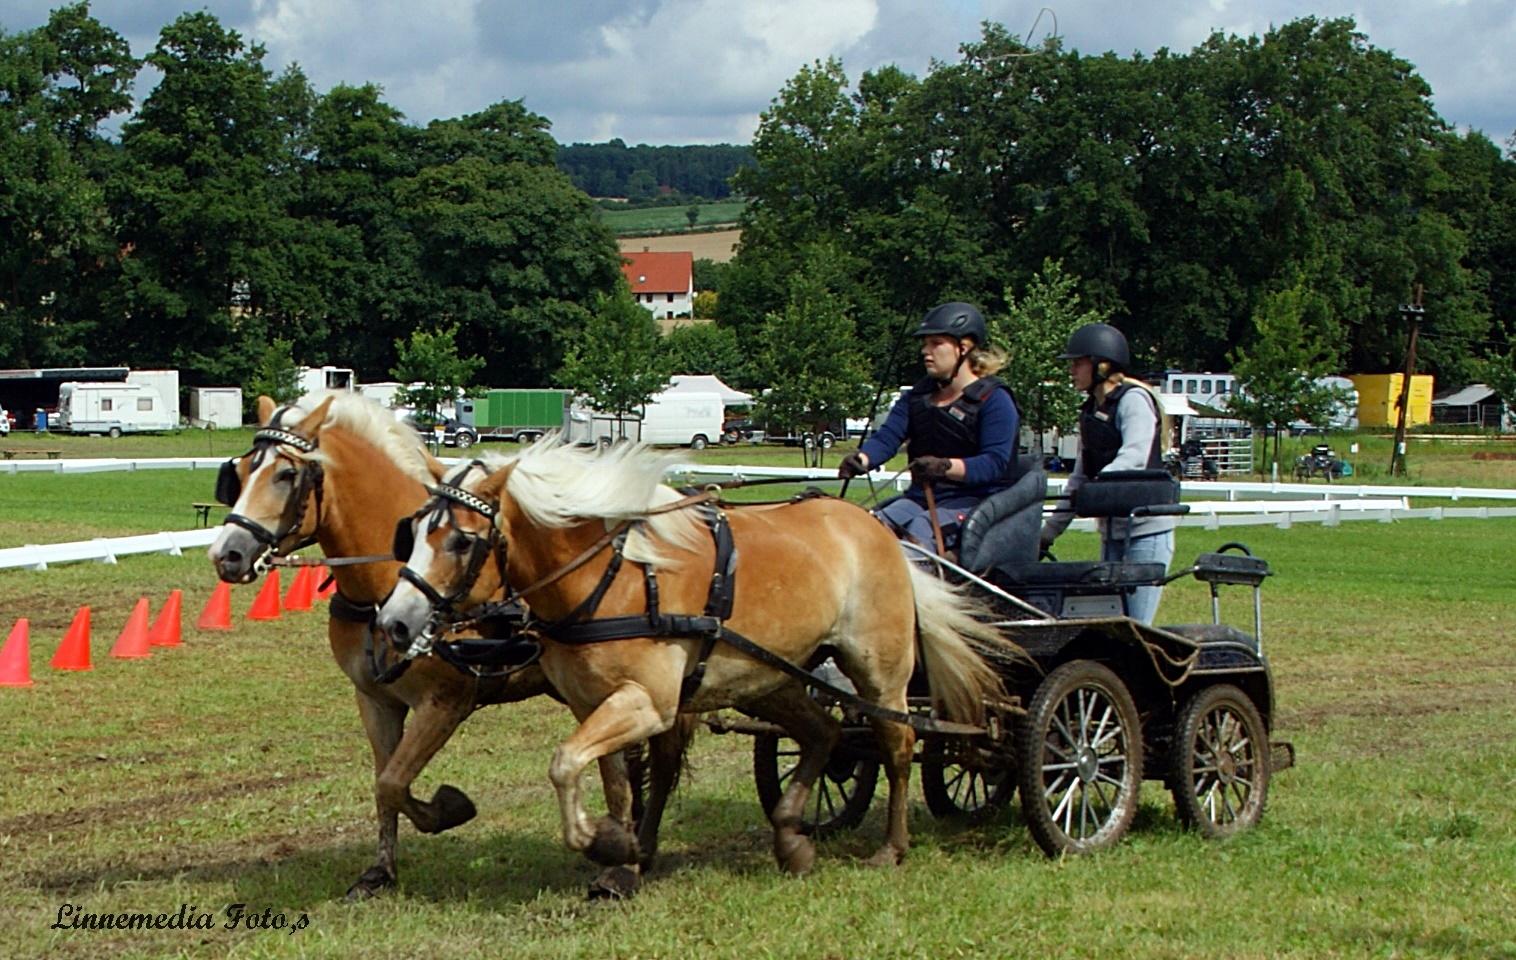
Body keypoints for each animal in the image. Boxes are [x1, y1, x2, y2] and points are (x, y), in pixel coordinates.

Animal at [206, 394, 688, 897]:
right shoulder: (375, 699)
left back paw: (634, 853)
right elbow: (384, 782)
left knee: (662, 758)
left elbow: (395, 781)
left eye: (286, 474)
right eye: (241, 470)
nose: (227, 554)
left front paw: (447, 809)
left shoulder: (445, 701)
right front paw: (380, 871)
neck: (387, 580)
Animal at [377, 436, 1018, 873]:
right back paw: (791, 838)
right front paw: (623, 848)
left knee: (897, 742)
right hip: (772, 677)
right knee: (824, 733)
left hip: (879, 670)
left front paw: (601, 843)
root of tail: (874, 526)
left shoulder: (649, 702)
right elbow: (609, 781)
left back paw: (892, 846)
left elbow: (564, 762)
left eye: (463, 541)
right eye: (414, 529)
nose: (394, 621)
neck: (611, 578)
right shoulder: (594, 703)